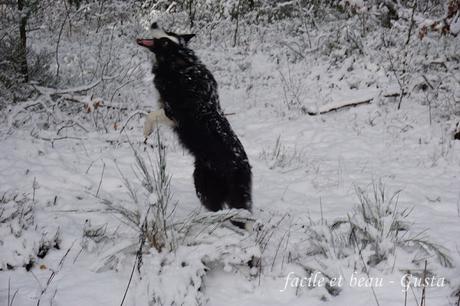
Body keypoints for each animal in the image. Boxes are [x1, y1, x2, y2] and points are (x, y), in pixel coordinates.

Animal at [137, 22, 252, 226]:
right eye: (169, 32)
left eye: (165, 41)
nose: (154, 23)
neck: (181, 66)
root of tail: (244, 169)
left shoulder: (173, 113)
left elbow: (151, 114)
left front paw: (146, 130)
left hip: (204, 186)